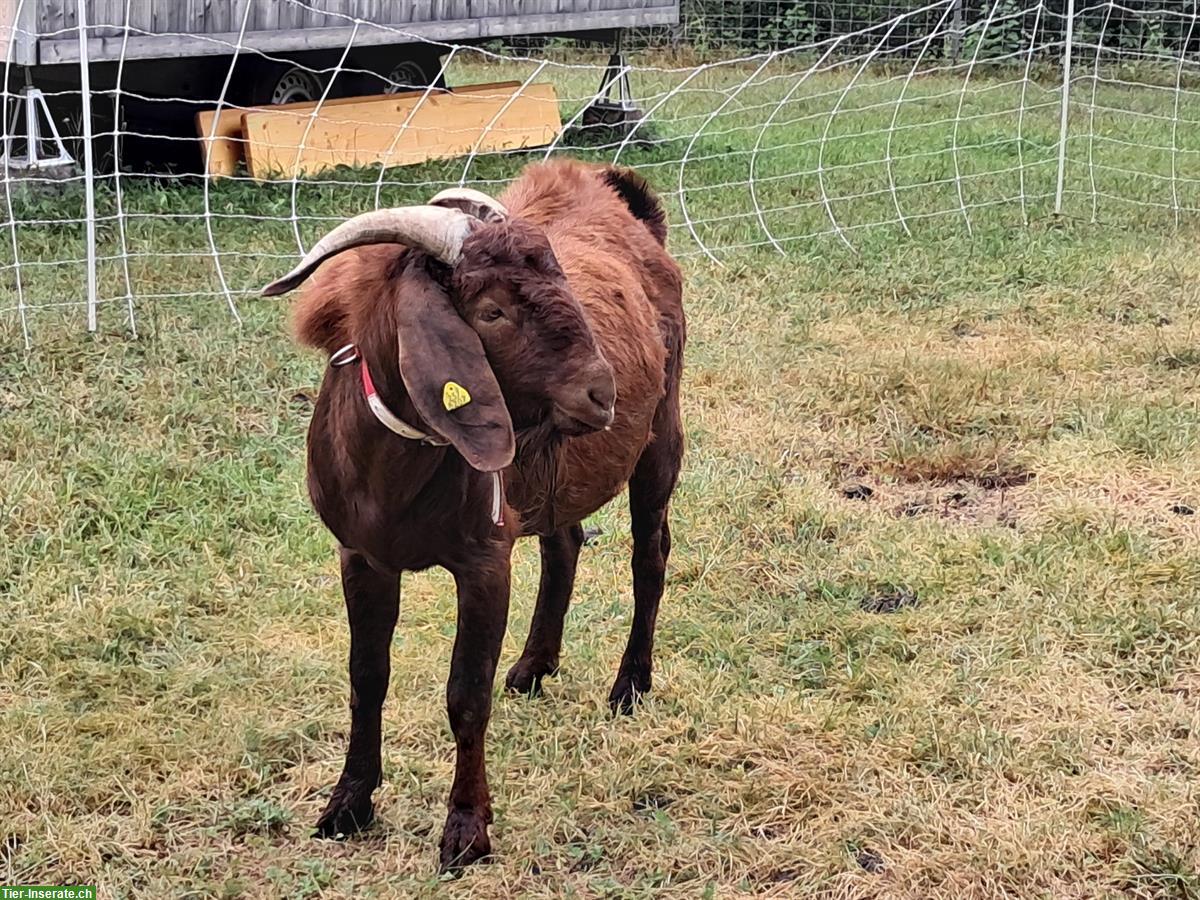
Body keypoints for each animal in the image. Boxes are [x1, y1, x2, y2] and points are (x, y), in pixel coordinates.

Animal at [270, 160, 686, 873]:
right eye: (492, 310)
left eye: (563, 282)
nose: (600, 393)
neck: (396, 473)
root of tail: (616, 196)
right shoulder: (361, 556)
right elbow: (366, 678)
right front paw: (347, 805)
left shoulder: (483, 560)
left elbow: (466, 696)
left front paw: (466, 830)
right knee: (565, 540)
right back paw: (535, 665)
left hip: (661, 435)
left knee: (648, 555)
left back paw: (630, 685)